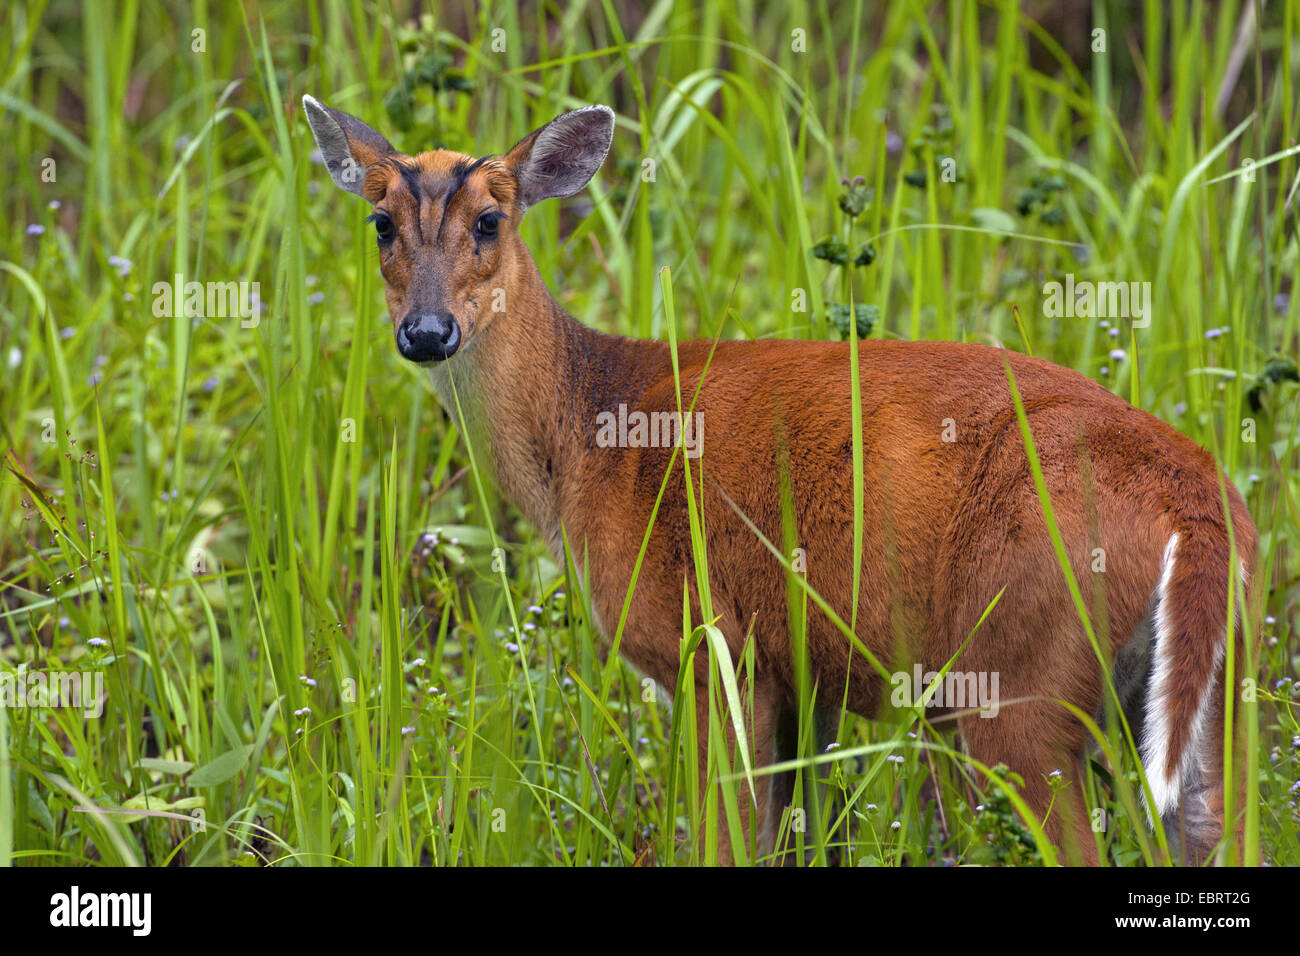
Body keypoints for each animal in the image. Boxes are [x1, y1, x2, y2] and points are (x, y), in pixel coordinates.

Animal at [304, 95, 1258, 868]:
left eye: (491, 220)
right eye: (380, 222)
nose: (428, 332)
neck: (590, 435)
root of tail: (1199, 507)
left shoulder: (712, 643)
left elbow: (724, 838)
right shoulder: (806, 671)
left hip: (1020, 674)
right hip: (1215, 689)